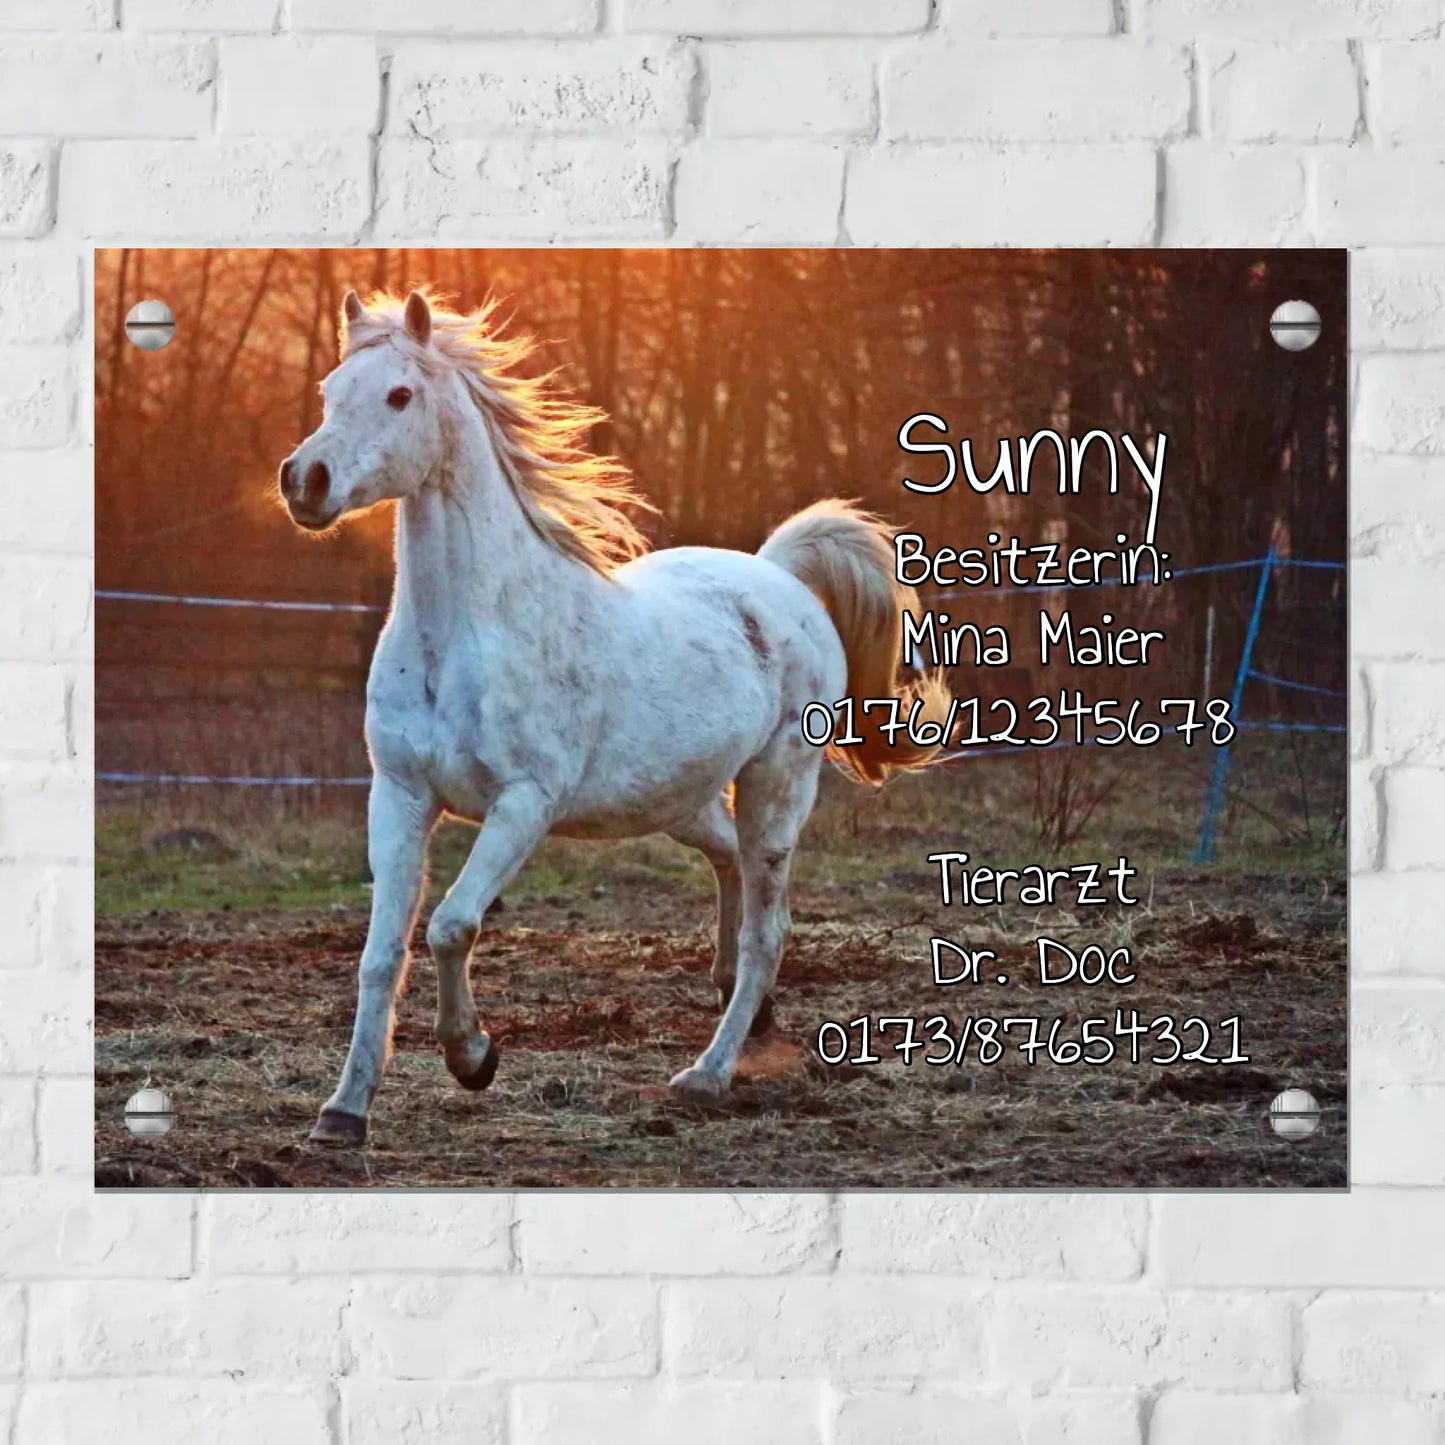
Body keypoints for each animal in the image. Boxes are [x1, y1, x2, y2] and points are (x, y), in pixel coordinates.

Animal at [279, 288, 948, 1145]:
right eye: (331, 390)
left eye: (400, 395)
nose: (305, 480)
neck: (464, 633)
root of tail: (778, 577)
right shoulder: (398, 795)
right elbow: (380, 953)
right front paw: (343, 1111)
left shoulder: (523, 804)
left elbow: (451, 925)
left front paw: (474, 1057)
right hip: (679, 798)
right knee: (729, 865)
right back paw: (745, 1008)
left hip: (776, 786)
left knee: (767, 928)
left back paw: (707, 1073)